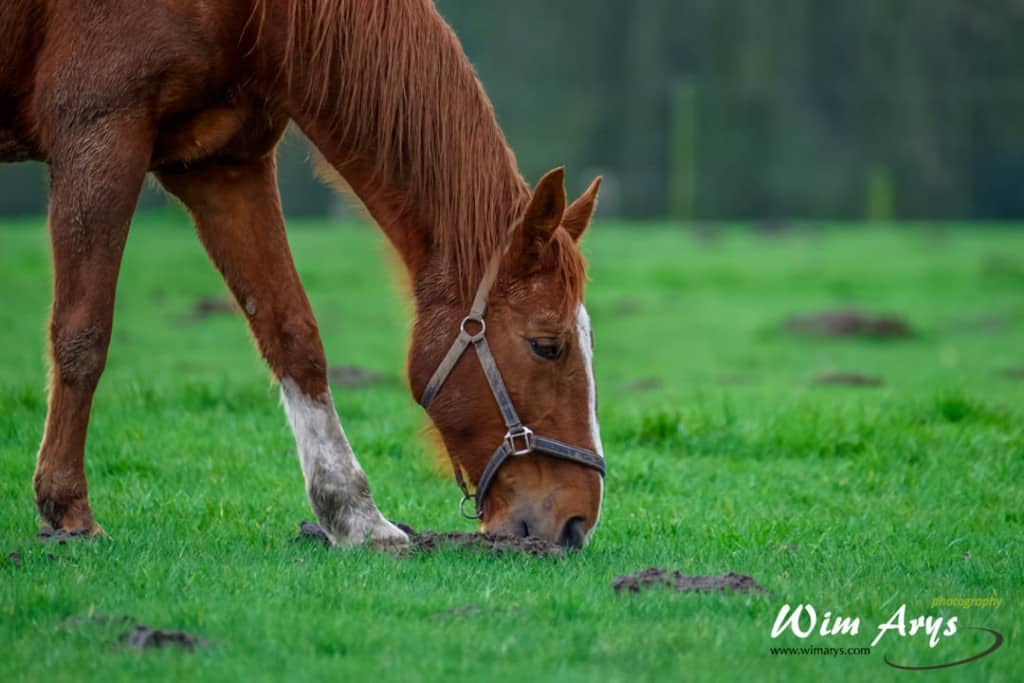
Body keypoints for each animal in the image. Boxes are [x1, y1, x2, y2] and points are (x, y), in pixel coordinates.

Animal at [0, 0, 602, 544]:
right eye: (547, 345)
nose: (577, 522)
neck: (251, 14)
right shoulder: (99, 137)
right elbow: (83, 333)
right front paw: (68, 511)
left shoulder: (222, 165)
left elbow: (292, 335)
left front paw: (356, 518)